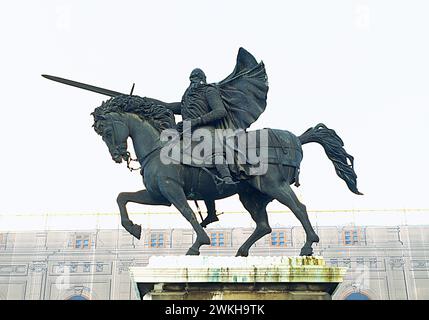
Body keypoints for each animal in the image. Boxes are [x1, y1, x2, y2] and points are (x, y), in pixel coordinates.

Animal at [91, 95, 362, 258]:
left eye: (106, 130)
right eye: (100, 134)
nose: (117, 156)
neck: (159, 148)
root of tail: (295, 137)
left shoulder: (172, 190)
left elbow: (188, 214)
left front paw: (198, 243)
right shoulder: (158, 195)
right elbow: (122, 197)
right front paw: (133, 228)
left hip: (273, 186)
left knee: (299, 207)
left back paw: (308, 244)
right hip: (251, 196)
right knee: (264, 225)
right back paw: (241, 252)